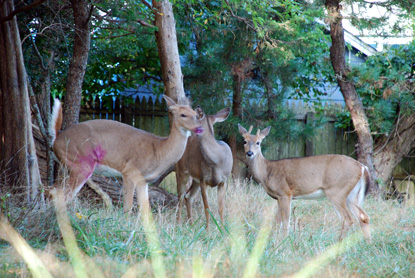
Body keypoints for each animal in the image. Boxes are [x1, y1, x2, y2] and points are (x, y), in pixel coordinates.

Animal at [50, 94, 203, 214]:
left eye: (196, 115)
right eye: (183, 114)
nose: (199, 128)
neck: (159, 150)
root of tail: (56, 138)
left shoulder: (143, 180)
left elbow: (146, 210)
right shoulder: (130, 172)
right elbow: (128, 207)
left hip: (68, 166)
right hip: (79, 164)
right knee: (62, 195)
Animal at [239, 125, 372, 242]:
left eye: (258, 142)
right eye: (244, 141)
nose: (249, 153)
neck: (266, 171)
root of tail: (362, 167)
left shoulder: (285, 193)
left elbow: (285, 219)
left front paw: (284, 240)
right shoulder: (278, 197)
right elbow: (277, 221)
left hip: (337, 191)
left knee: (347, 219)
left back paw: (338, 243)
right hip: (352, 194)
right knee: (363, 217)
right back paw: (367, 243)